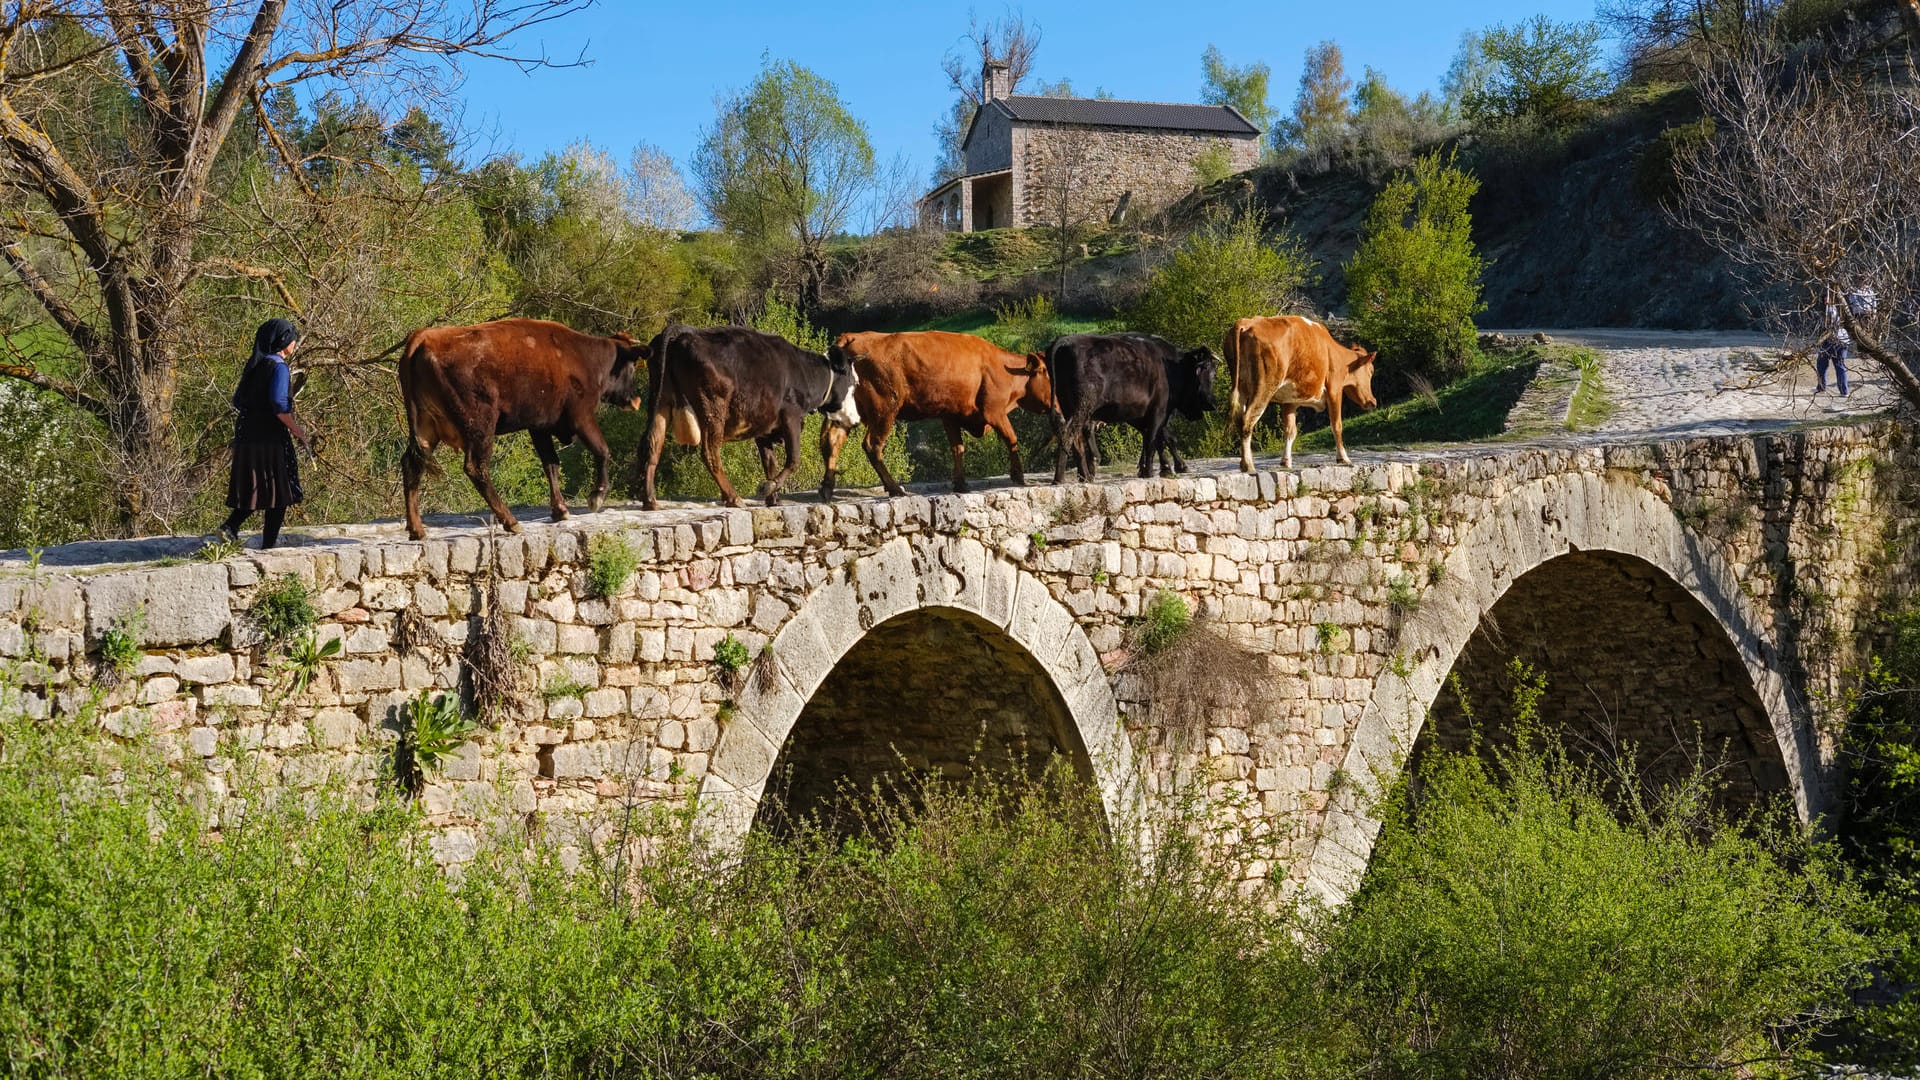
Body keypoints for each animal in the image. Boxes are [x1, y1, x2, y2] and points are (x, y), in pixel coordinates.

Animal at [397, 317, 645, 538]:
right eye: (632, 368)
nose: (635, 400)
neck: (586, 357)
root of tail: (426, 337)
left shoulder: (540, 426)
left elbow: (551, 464)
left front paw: (560, 510)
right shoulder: (581, 416)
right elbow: (602, 450)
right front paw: (597, 496)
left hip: (426, 429)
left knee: (412, 465)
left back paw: (417, 530)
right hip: (480, 425)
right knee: (476, 468)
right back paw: (510, 521)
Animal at [641, 322, 860, 507]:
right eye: (854, 382)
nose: (856, 419)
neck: (805, 373)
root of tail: (684, 333)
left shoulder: (764, 427)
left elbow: (770, 463)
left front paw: (774, 498)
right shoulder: (791, 416)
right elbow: (794, 459)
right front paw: (768, 487)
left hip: (661, 399)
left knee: (653, 442)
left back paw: (650, 500)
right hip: (712, 406)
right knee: (710, 452)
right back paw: (733, 497)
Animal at [814, 330, 1052, 499]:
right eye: (1048, 375)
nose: (1054, 403)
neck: (1003, 368)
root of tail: (852, 337)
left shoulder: (951, 415)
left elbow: (958, 448)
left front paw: (960, 483)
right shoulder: (994, 411)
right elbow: (1011, 438)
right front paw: (1018, 476)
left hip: (846, 412)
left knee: (831, 441)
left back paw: (827, 488)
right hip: (885, 409)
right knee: (872, 445)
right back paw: (894, 488)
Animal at [1228, 309, 1382, 465]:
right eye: (1371, 371)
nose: (1373, 401)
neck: (1336, 355)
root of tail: (1246, 322)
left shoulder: (1290, 400)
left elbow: (1290, 430)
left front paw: (1286, 461)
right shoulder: (1334, 390)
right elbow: (1336, 425)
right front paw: (1343, 457)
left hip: (1241, 388)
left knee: (1238, 419)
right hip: (1263, 388)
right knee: (1247, 420)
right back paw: (1248, 465)